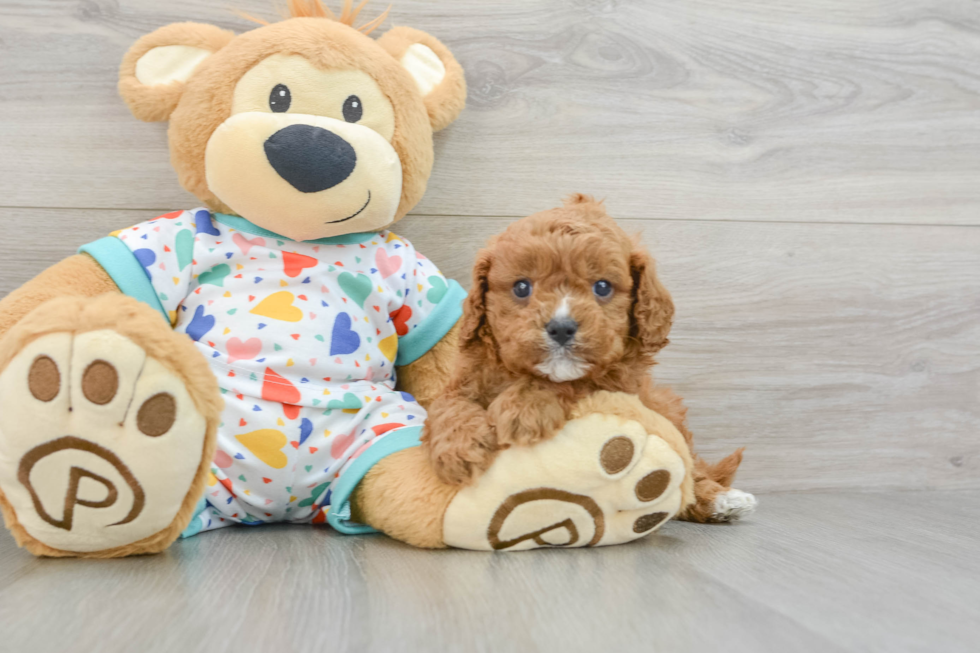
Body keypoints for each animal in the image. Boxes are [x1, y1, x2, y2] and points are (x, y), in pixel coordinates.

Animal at [424, 196, 756, 524]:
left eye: (603, 286)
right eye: (521, 287)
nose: (561, 328)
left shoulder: (616, 383)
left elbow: (574, 383)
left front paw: (523, 408)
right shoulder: (463, 381)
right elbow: (448, 406)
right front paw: (460, 449)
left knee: (690, 470)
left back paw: (720, 500)